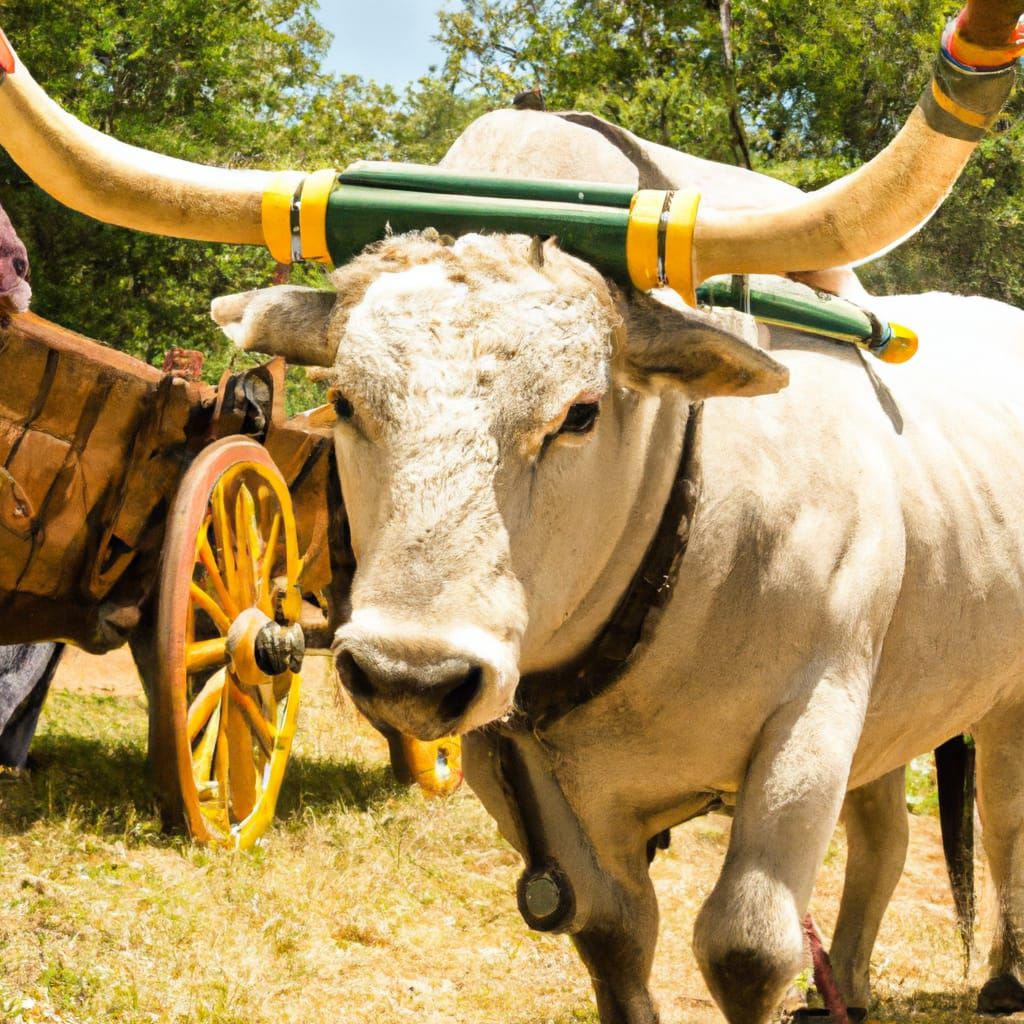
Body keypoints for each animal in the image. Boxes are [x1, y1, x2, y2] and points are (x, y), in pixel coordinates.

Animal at [1, 3, 1022, 1020]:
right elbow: (612, 936)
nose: (408, 676)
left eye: (580, 412)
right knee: (887, 837)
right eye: (344, 401)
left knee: (1002, 814)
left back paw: (1002, 973)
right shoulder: (518, 765)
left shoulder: (812, 719)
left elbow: (745, 949)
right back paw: (847, 980)